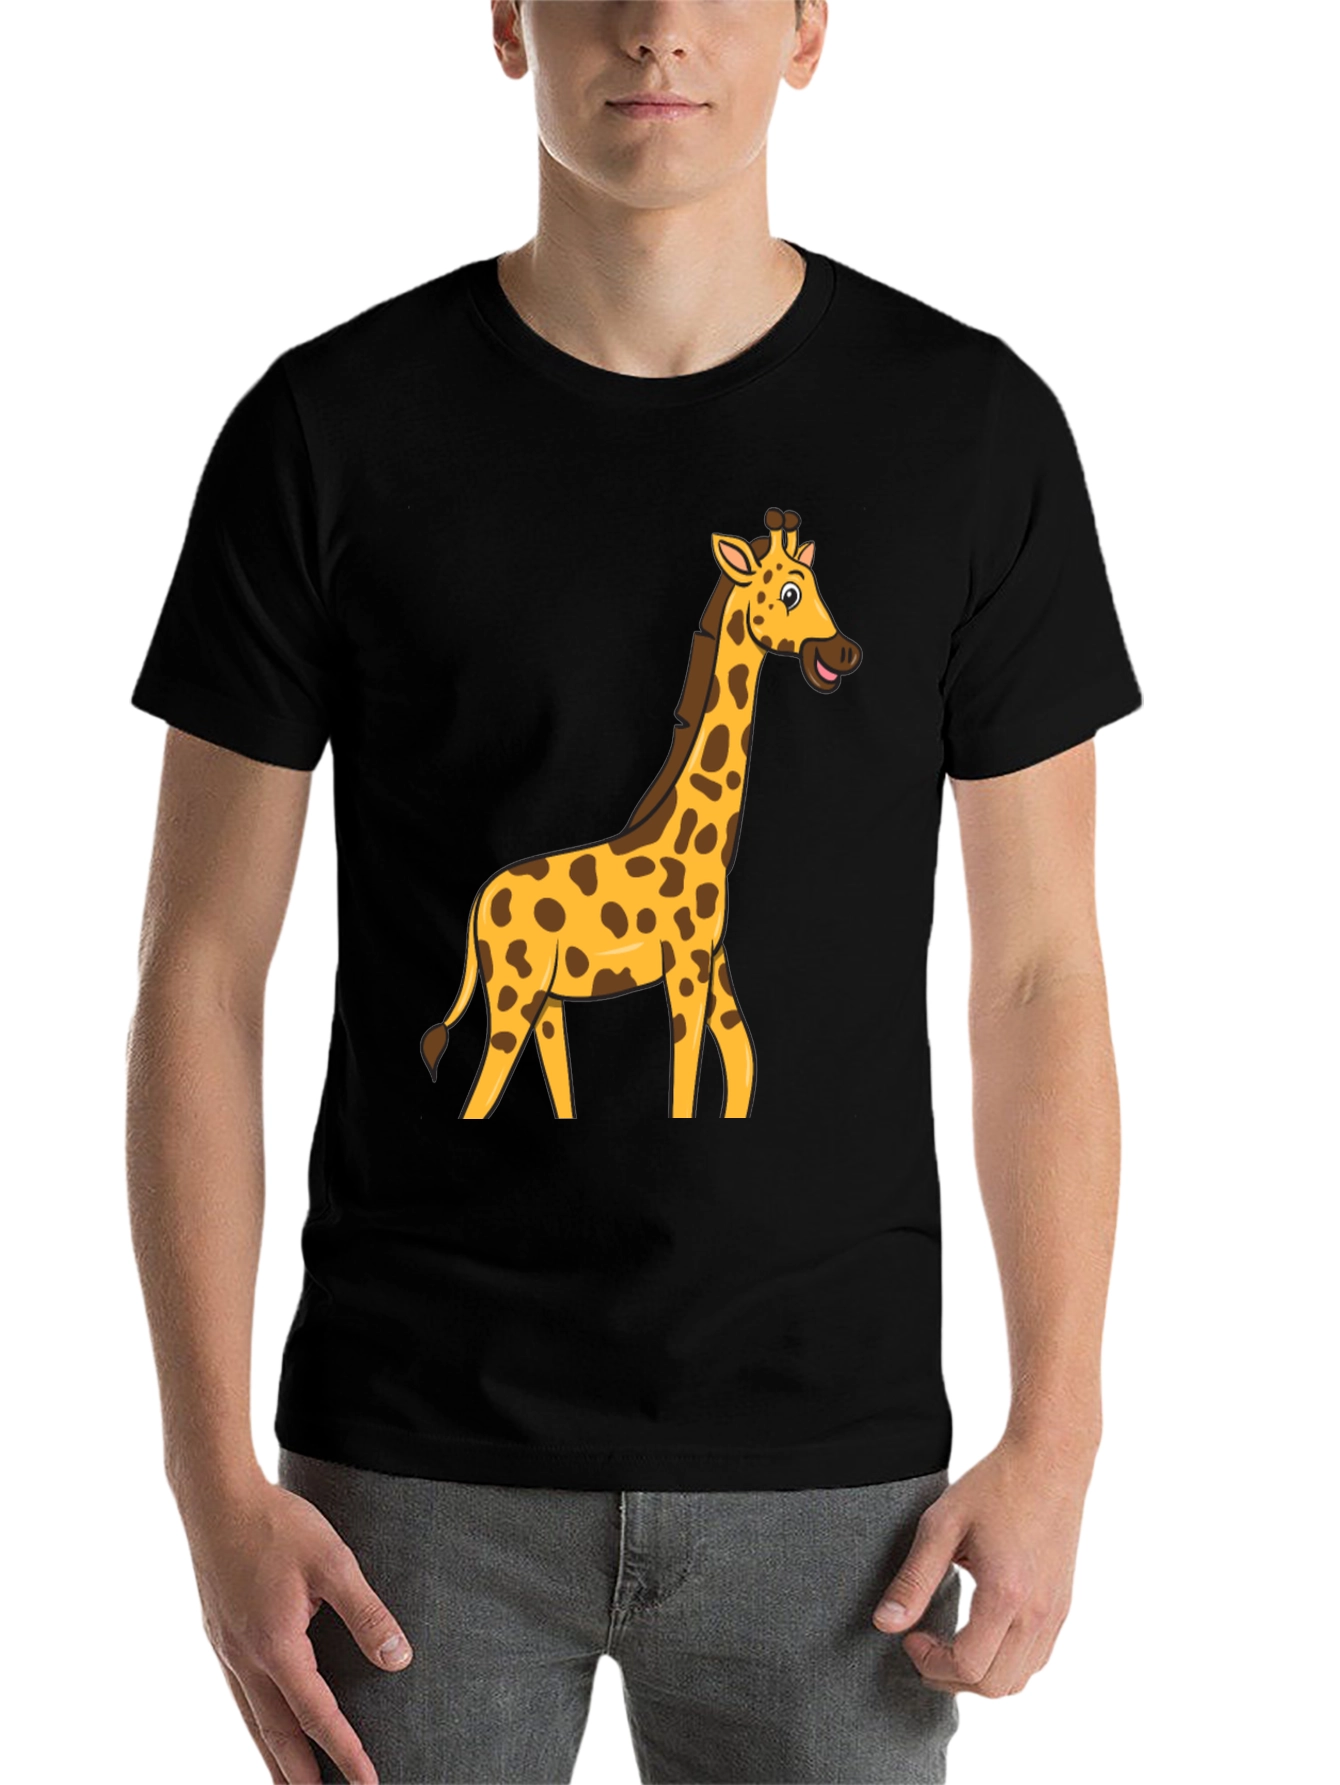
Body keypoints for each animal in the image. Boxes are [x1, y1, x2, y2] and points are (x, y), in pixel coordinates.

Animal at [420, 508, 860, 1119]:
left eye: (816, 585)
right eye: (790, 592)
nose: (844, 653)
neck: (700, 838)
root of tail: (480, 903)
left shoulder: (714, 960)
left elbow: (741, 1060)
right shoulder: (686, 964)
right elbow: (685, 1081)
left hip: (547, 1000)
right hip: (515, 990)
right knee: (480, 1095)